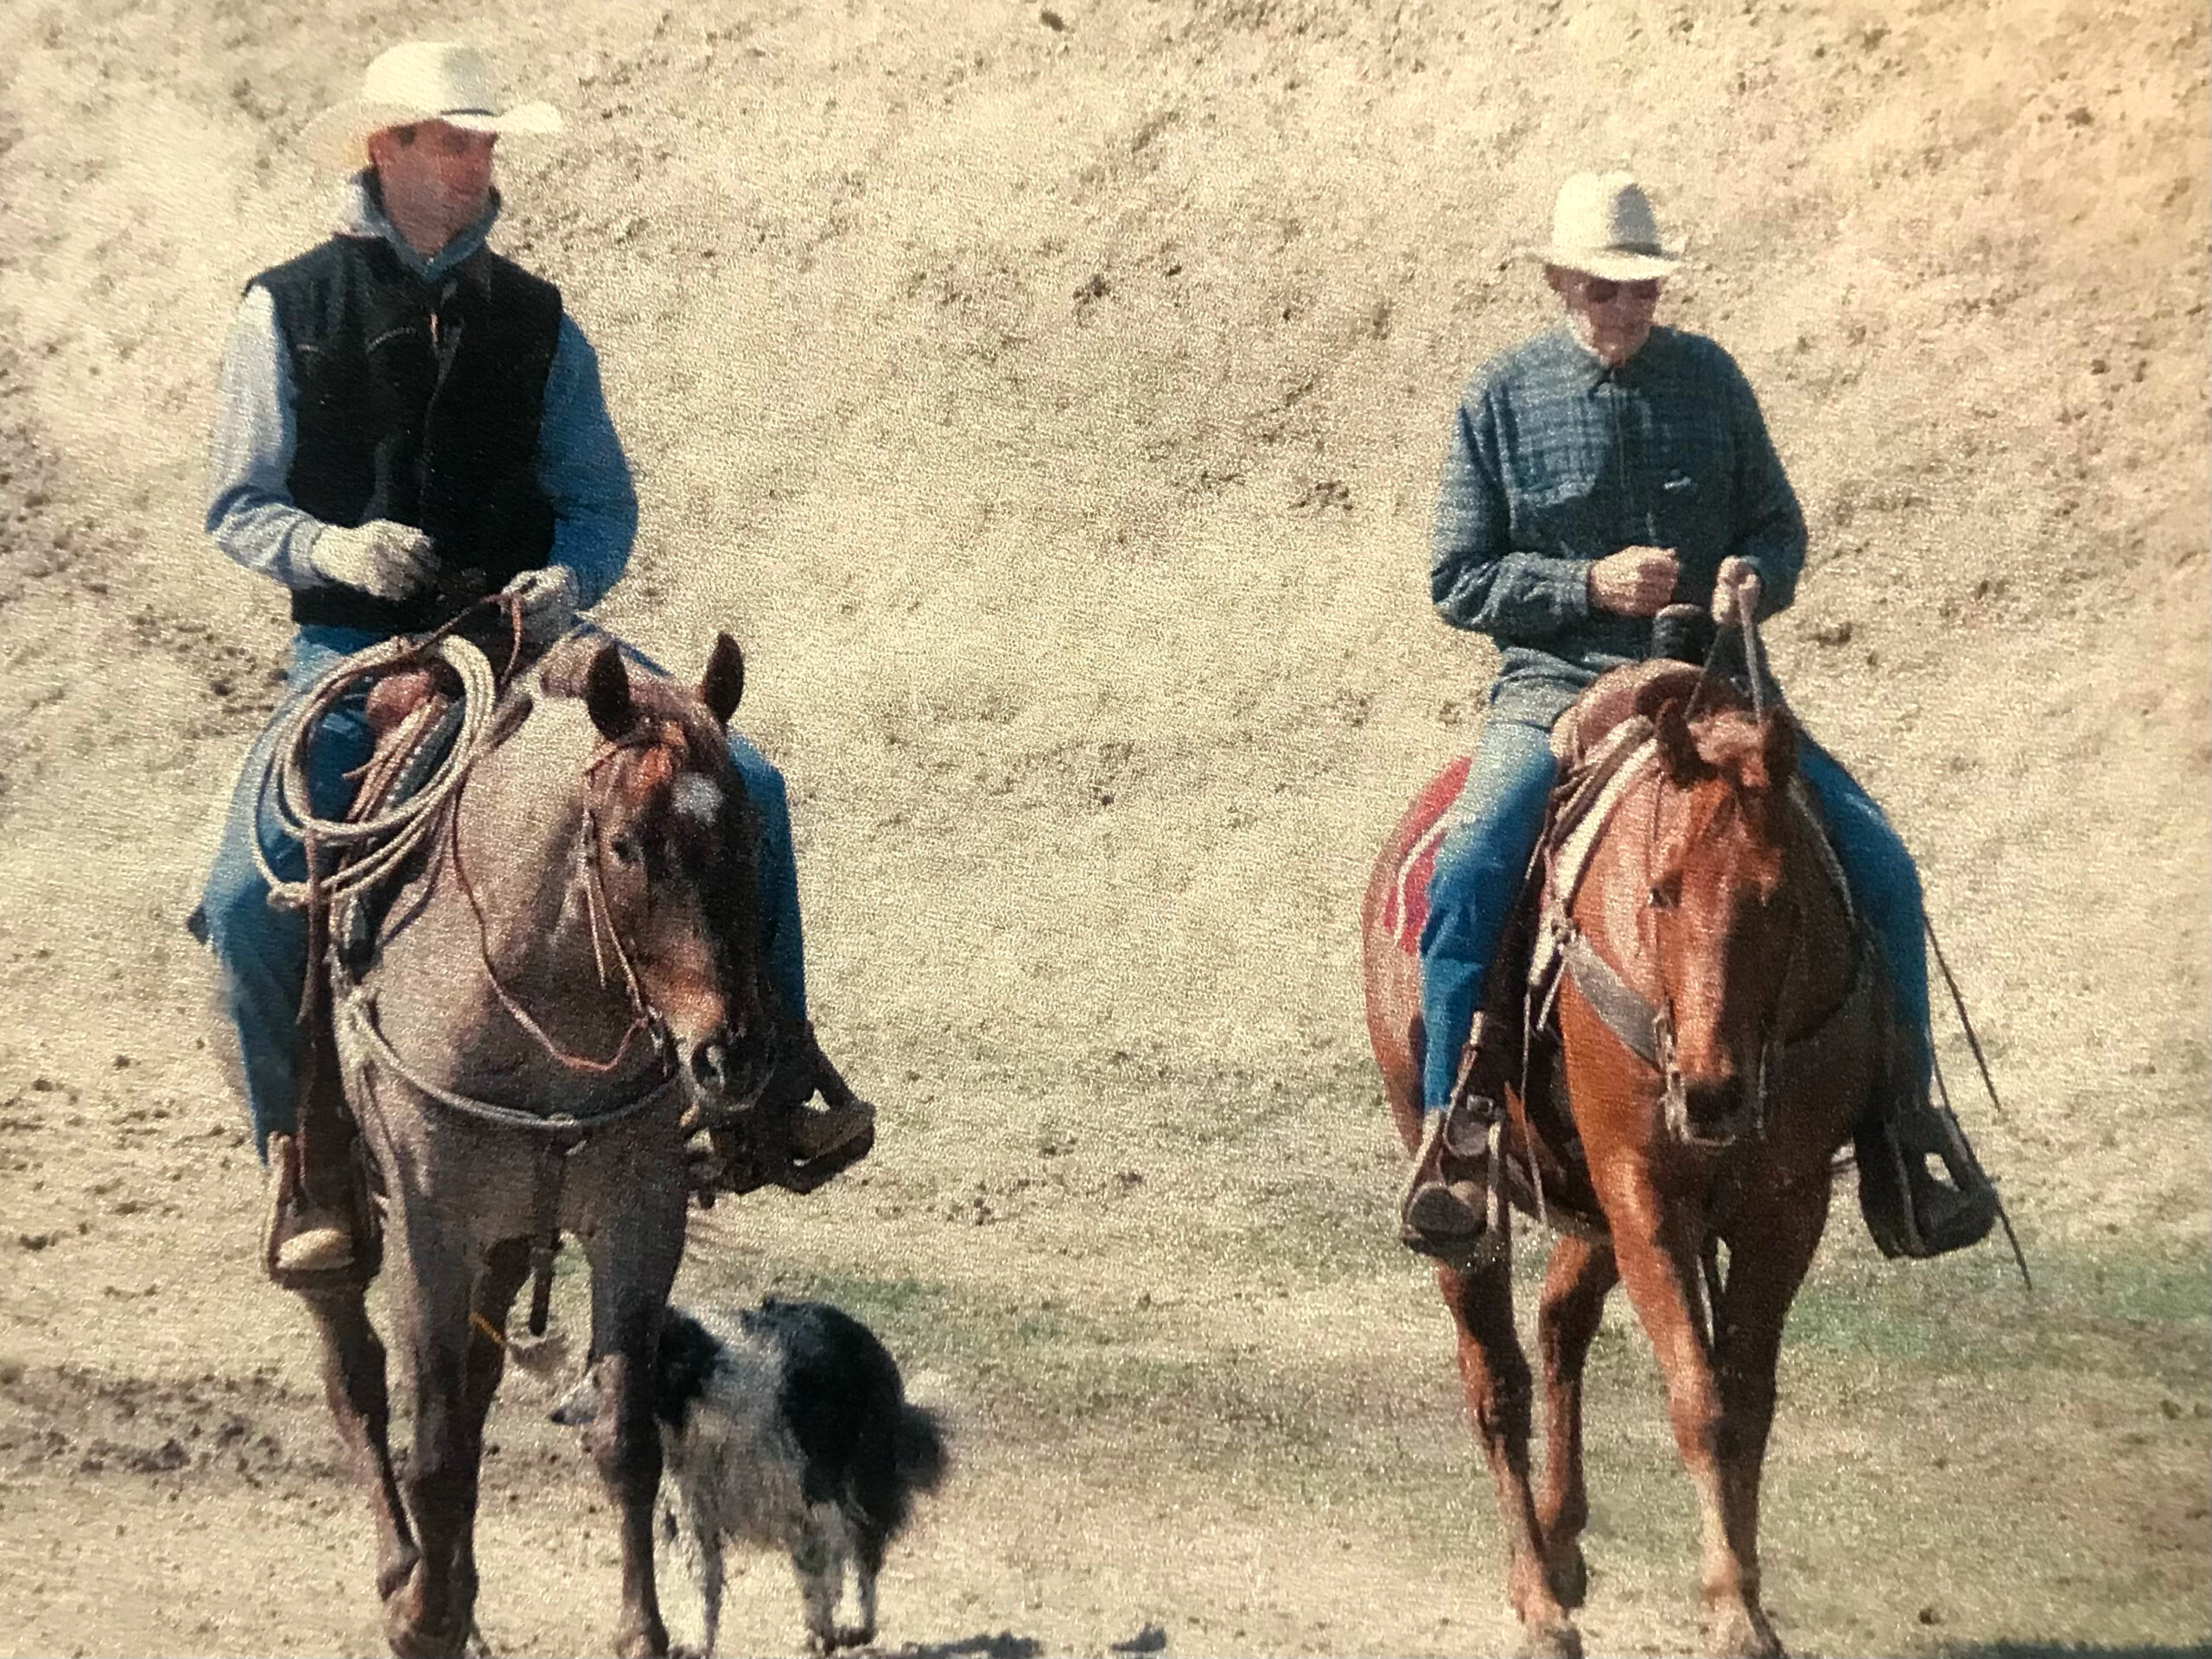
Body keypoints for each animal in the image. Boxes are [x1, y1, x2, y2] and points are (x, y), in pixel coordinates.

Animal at [280, 628, 780, 1658]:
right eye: (626, 845)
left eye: (751, 833)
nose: (733, 1055)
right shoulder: (430, 1227)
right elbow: (431, 1446)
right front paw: (421, 1617)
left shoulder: (640, 1219)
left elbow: (624, 1437)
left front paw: (641, 1632)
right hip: (357, 1221)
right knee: (357, 1375)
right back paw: (405, 1571)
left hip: (512, 1234)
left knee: (474, 1387)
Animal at [1362, 665, 1885, 1659]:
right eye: (1661, 892)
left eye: (1782, 897)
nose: (1713, 1095)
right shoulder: (1645, 1193)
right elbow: (1699, 1400)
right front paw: (1727, 1603)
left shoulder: (1786, 1207)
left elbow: (1745, 1401)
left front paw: (1748, 1601)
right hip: (1466, 1194)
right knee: (1495, 1382)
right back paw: (1538, 1600)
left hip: (1591, 1205)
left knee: (1560, 1321)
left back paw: (1563, 1544)